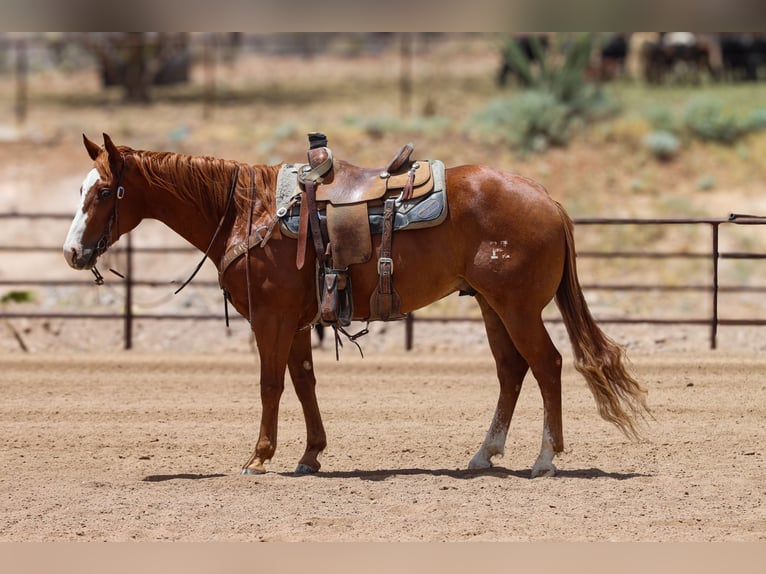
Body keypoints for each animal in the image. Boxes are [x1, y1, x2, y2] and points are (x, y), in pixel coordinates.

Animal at [63, 133, 649, 478]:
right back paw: (484, 454)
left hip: (518, 307)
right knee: (512, 370)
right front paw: (310, 455)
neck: (249, 211)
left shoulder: (272, 319)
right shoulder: (298, 323)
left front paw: (259, 455)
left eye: (103, 192)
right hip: (490, 305)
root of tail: (548, 200)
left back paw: (545, 458)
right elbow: (304, 382)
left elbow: (271, 384)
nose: (72, 252)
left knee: (547, 365)